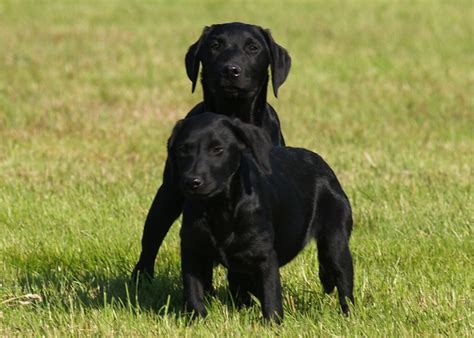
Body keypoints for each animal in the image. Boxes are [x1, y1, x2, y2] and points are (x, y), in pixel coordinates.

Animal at [168, 113, 354, 322]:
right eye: (183, 150)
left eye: (217, 149)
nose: (192, 182)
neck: (219, 207)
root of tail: (324, 166)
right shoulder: (192, 250)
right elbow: (193, 291)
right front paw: (197, 319)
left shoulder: (265, 256)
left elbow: (271, 295)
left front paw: (272, 323)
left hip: (335, 243)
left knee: (344, 282)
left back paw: (349, 315)